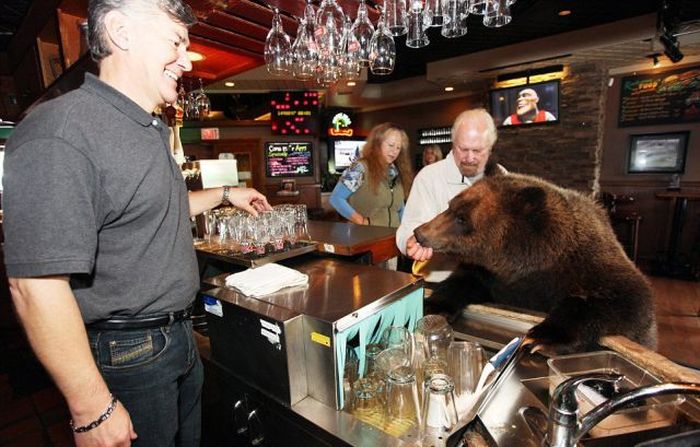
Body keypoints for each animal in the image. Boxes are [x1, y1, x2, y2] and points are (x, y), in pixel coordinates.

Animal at [412, 173, 652, 356]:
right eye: (450, 205)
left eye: (462, 218)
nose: (420, 233)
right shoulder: (495, 277)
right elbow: (463, 281)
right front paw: (434, 305)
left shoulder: (589, 266)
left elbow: (626, 300)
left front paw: (541, 337)